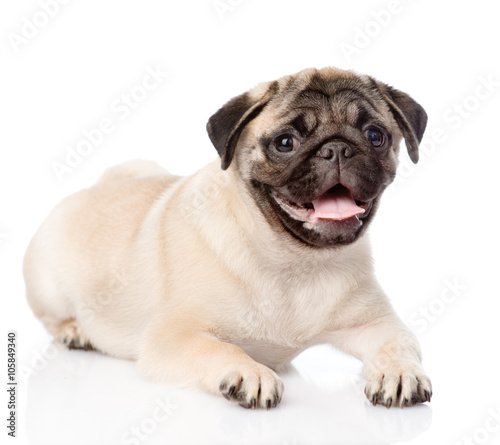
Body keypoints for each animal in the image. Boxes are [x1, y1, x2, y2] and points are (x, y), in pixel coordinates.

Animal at [23, 67, 430, 410]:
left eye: (375, 136)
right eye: (286, 142)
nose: (338, 148)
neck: (292, 260)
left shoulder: (377, 325)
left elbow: (401, 345)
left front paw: (399, 372)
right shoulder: (174, 337)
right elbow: (220, 351)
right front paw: (250, 372)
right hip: (49, 285)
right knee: (52, 319)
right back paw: (75, 331)